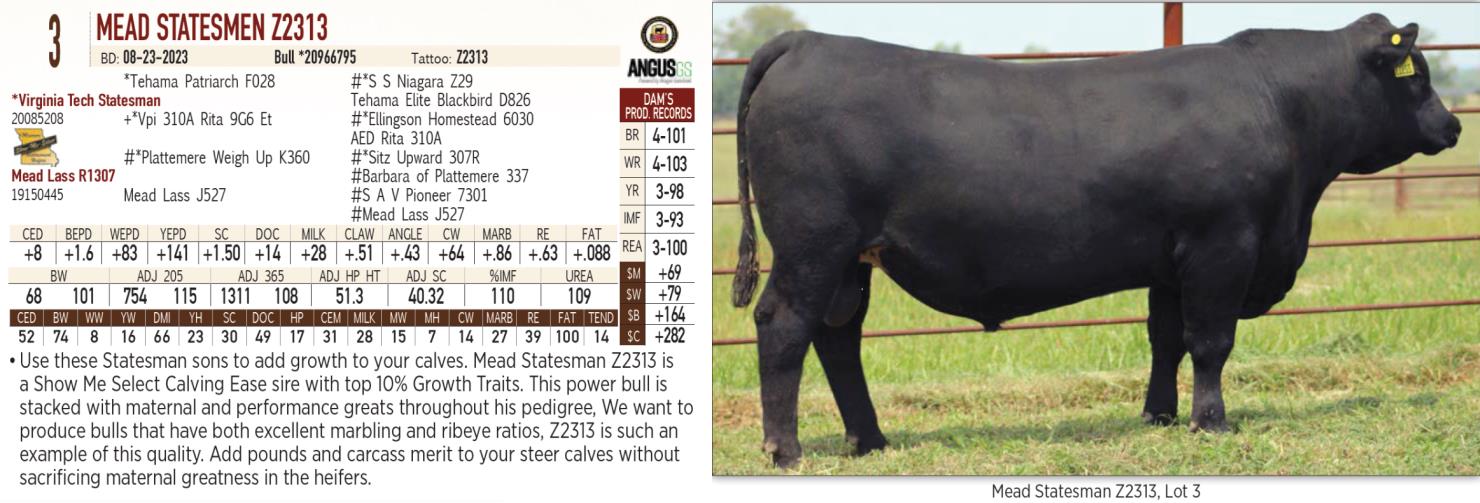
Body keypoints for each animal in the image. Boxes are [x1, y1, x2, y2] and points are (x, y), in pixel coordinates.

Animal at [729, 14, 1461, 468]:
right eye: (1418, 78)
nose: (1453, 126)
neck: (1279, 104)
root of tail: (805, 42)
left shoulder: (1171, 258)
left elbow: (1166, 338)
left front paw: (1160, 415)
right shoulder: (1223, 244)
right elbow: (1211, 341)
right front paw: (1211, 421)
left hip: (849, 260)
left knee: (838, 337)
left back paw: (871, 439)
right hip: (813, 245)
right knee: (785, 326)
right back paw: (786, 450)